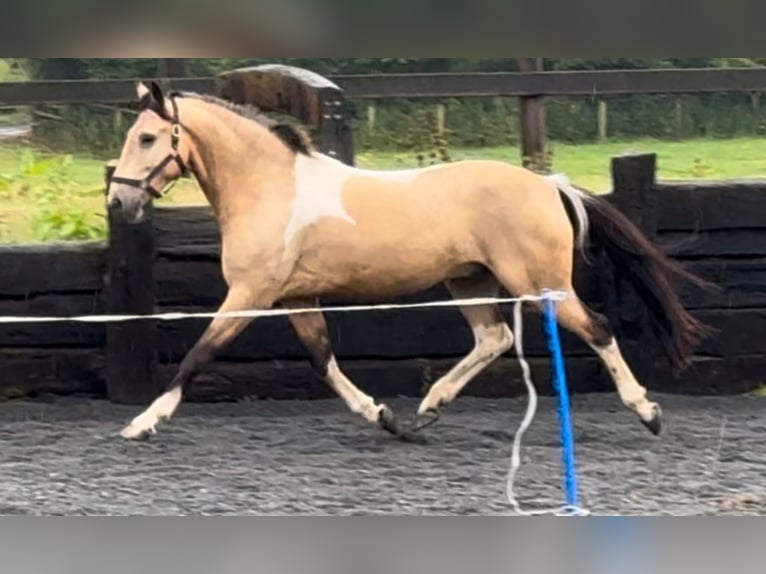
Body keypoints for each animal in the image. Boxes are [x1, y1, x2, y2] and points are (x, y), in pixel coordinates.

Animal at [108, 81, 712, 440]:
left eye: (147, 138)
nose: (118, 201)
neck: (270, 187)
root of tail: (547, 185)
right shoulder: (297, 296)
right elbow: (323, 360)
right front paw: (383, 416)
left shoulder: (251, 294)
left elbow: (198, 355)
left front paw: (142, 423)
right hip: (469, 281)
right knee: (494, 338)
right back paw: (428, 406)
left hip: (540, 283)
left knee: (598, 328)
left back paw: (648, 413)